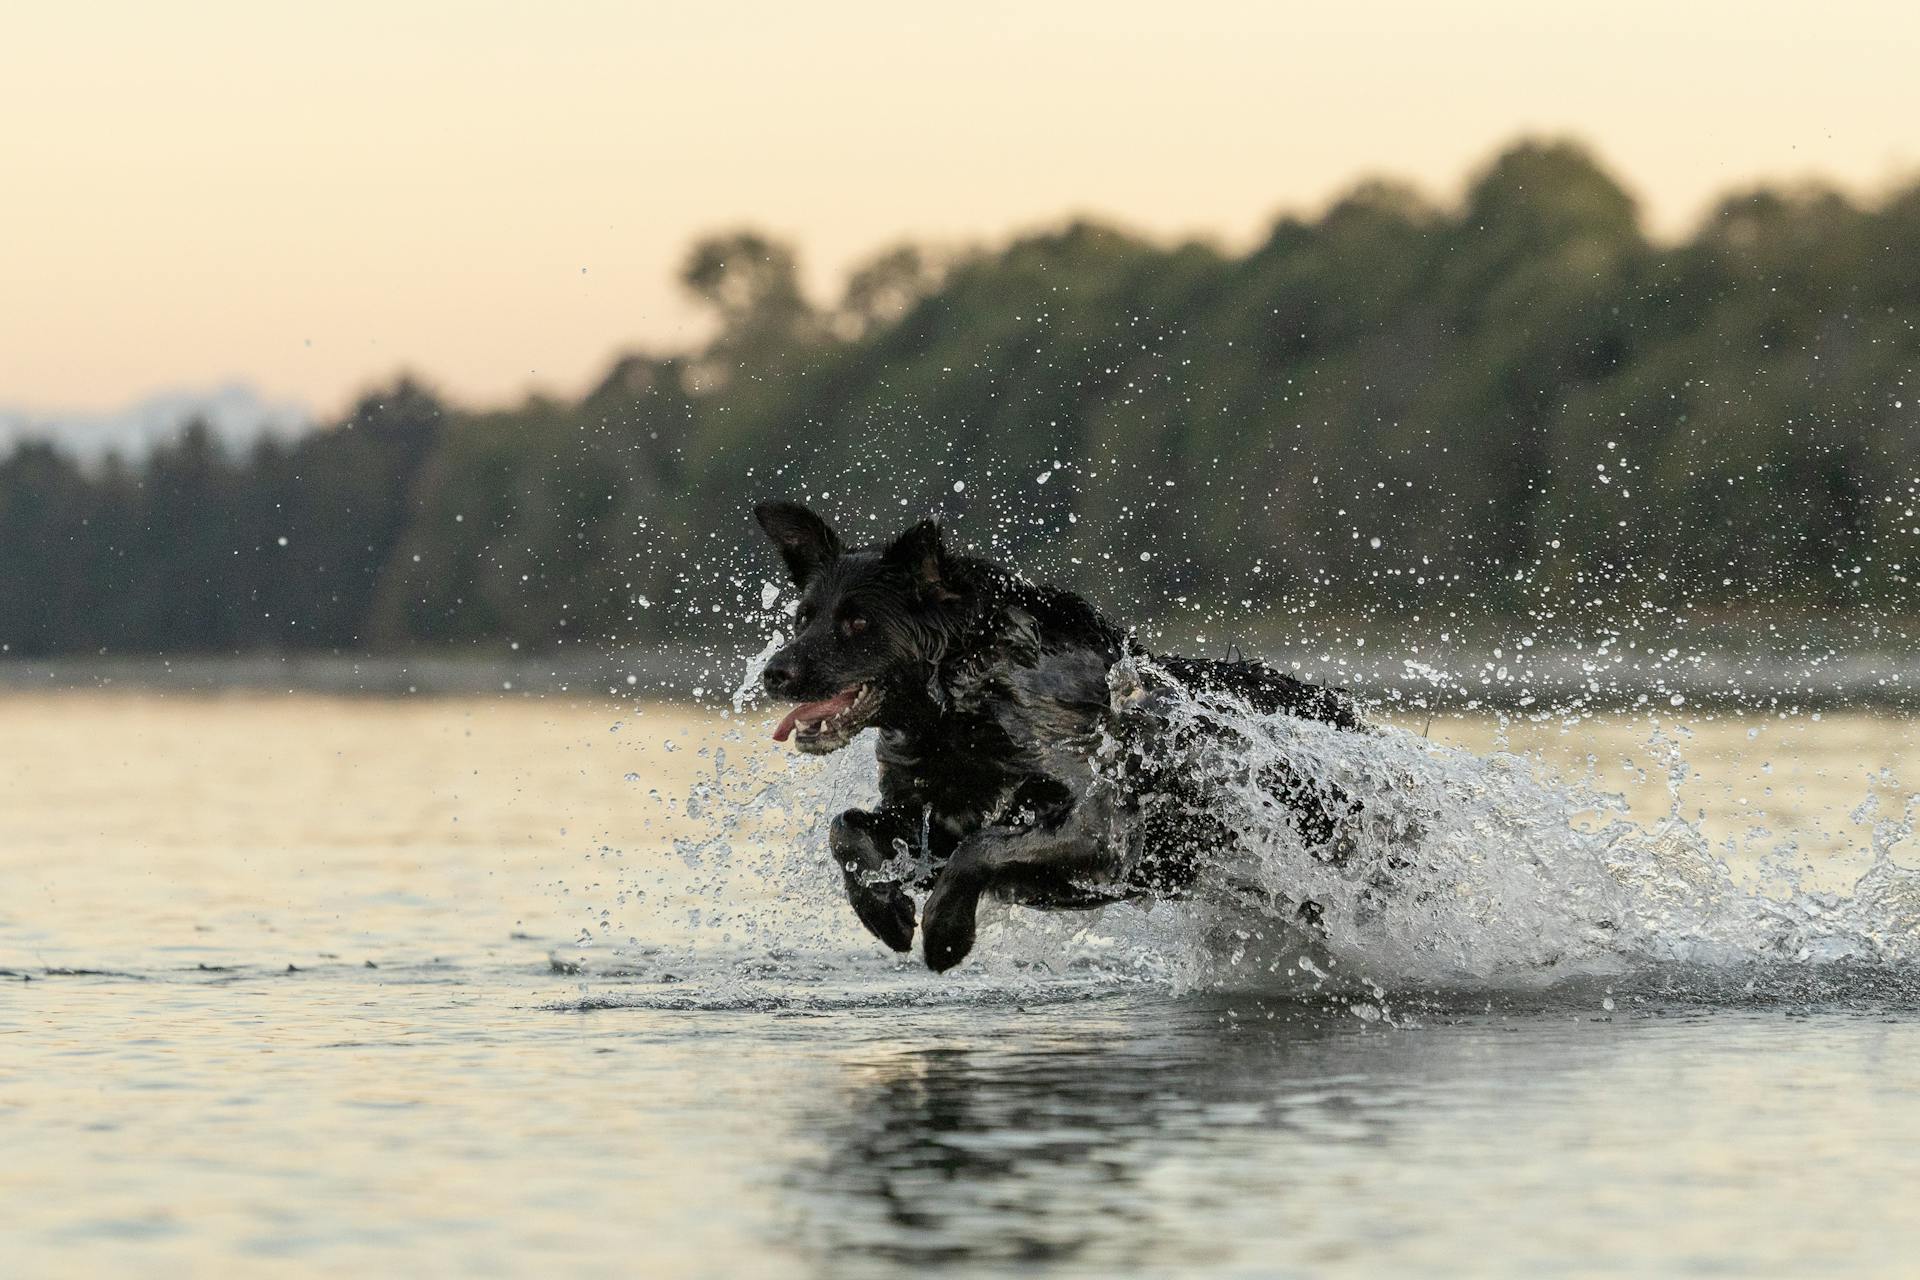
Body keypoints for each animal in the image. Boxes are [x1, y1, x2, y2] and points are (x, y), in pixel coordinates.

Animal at [752, 498, 1367, 971]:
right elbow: (847, 828)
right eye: (804, 617)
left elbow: (981, 849)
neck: (967, 708)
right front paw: (884, 910)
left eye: (858, 622)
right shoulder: (929, 818)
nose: (773, 673)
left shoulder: (1100, 830)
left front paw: (946, 935)